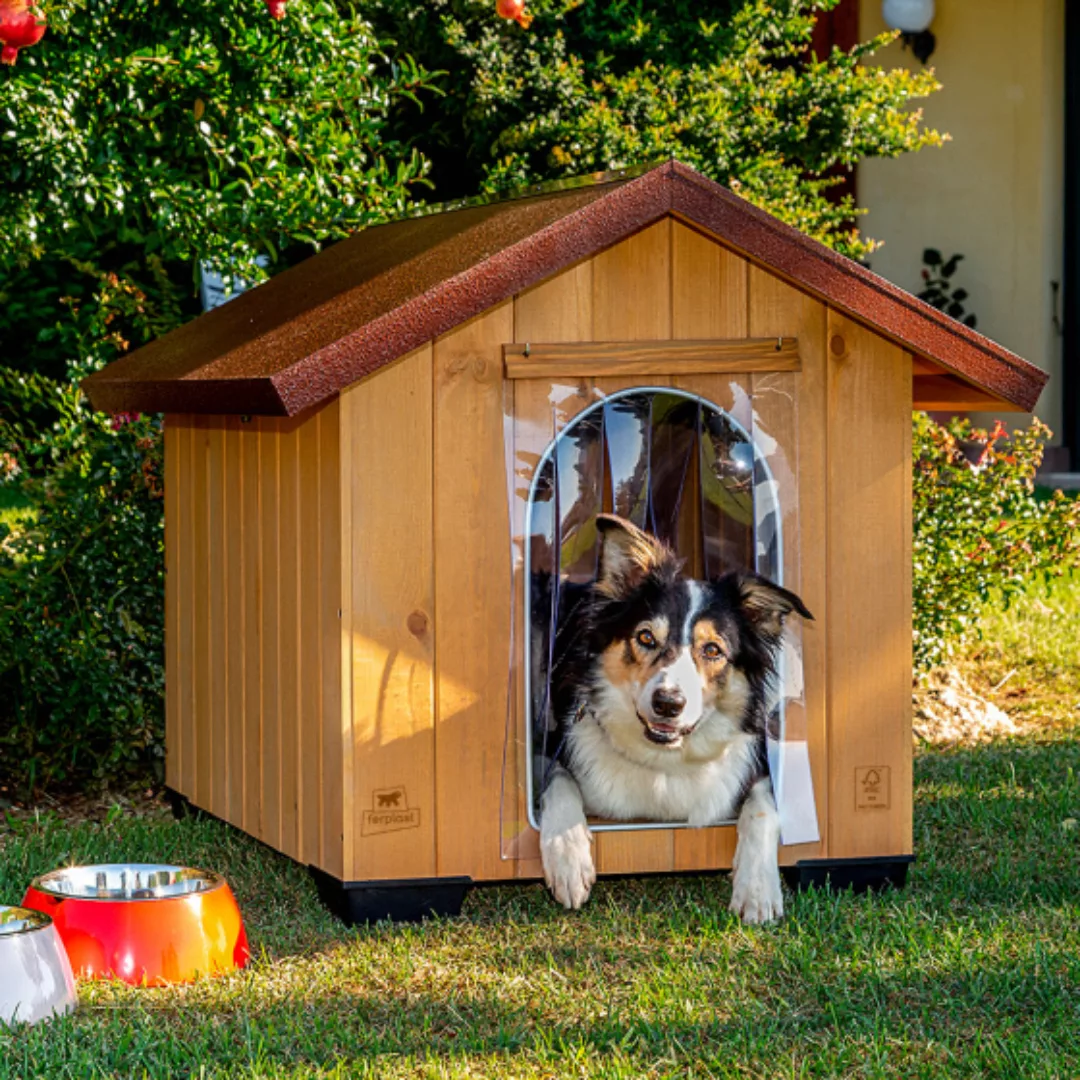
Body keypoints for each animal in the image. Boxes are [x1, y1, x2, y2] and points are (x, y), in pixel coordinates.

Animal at [537, 511, 812, 920]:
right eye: (646, 638)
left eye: (713, 649)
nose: (668, 703)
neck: (665, 761)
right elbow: (557, 779)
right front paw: (568, 855)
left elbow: (763, 805)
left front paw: (758, 889)